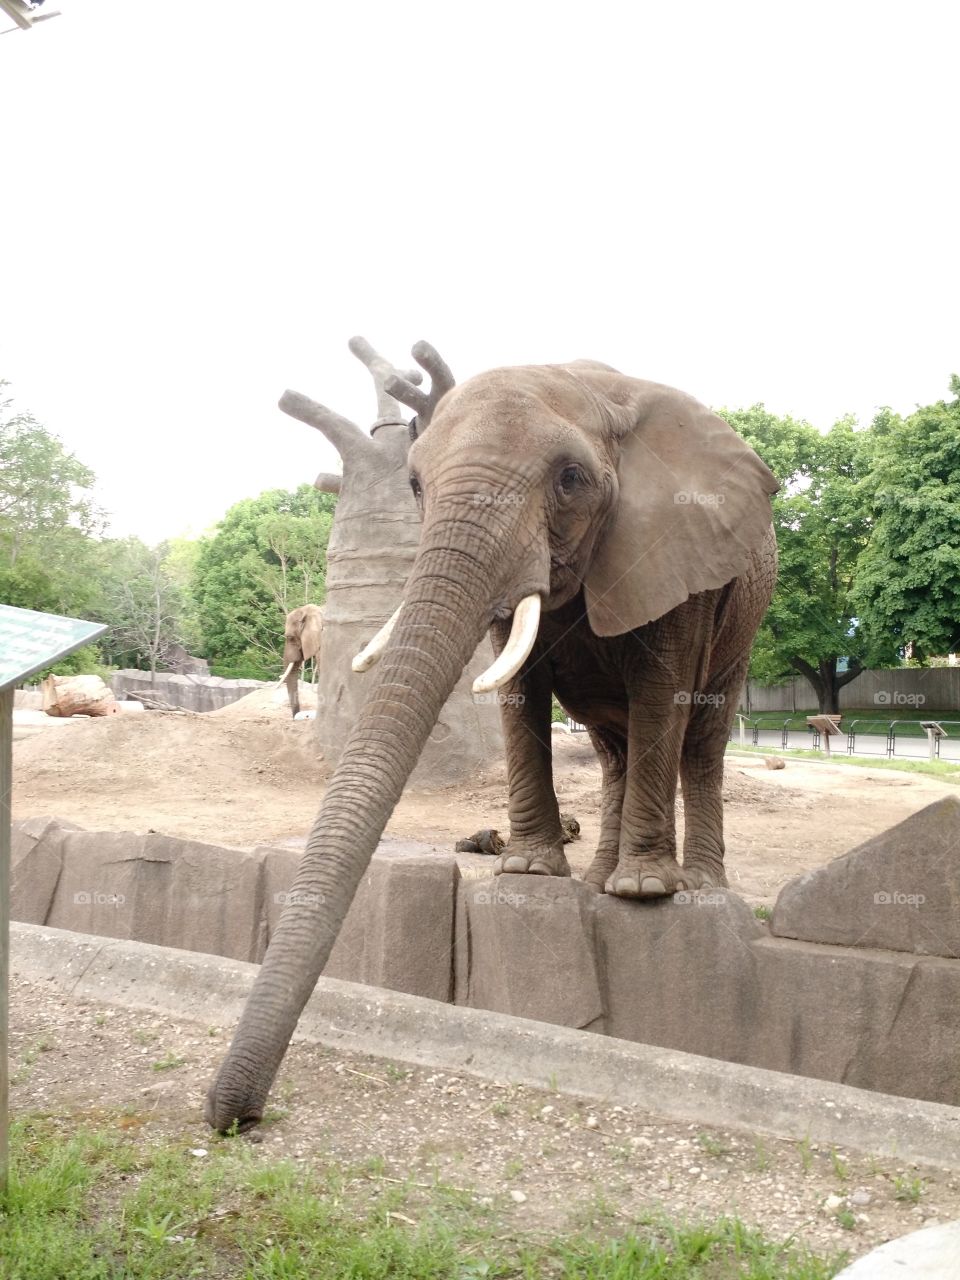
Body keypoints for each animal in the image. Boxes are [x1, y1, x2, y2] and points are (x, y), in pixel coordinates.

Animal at [206, 345, 778, 1132]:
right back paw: (596, 881)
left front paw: (644, 892)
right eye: (414, 484)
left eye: (570, 479)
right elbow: (517, 687)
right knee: (614, 747)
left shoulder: (675, 549)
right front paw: (533, 875)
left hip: (744, 611)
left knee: (700, 736)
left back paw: (689, 885)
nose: (231, 1117)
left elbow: (663, 692)